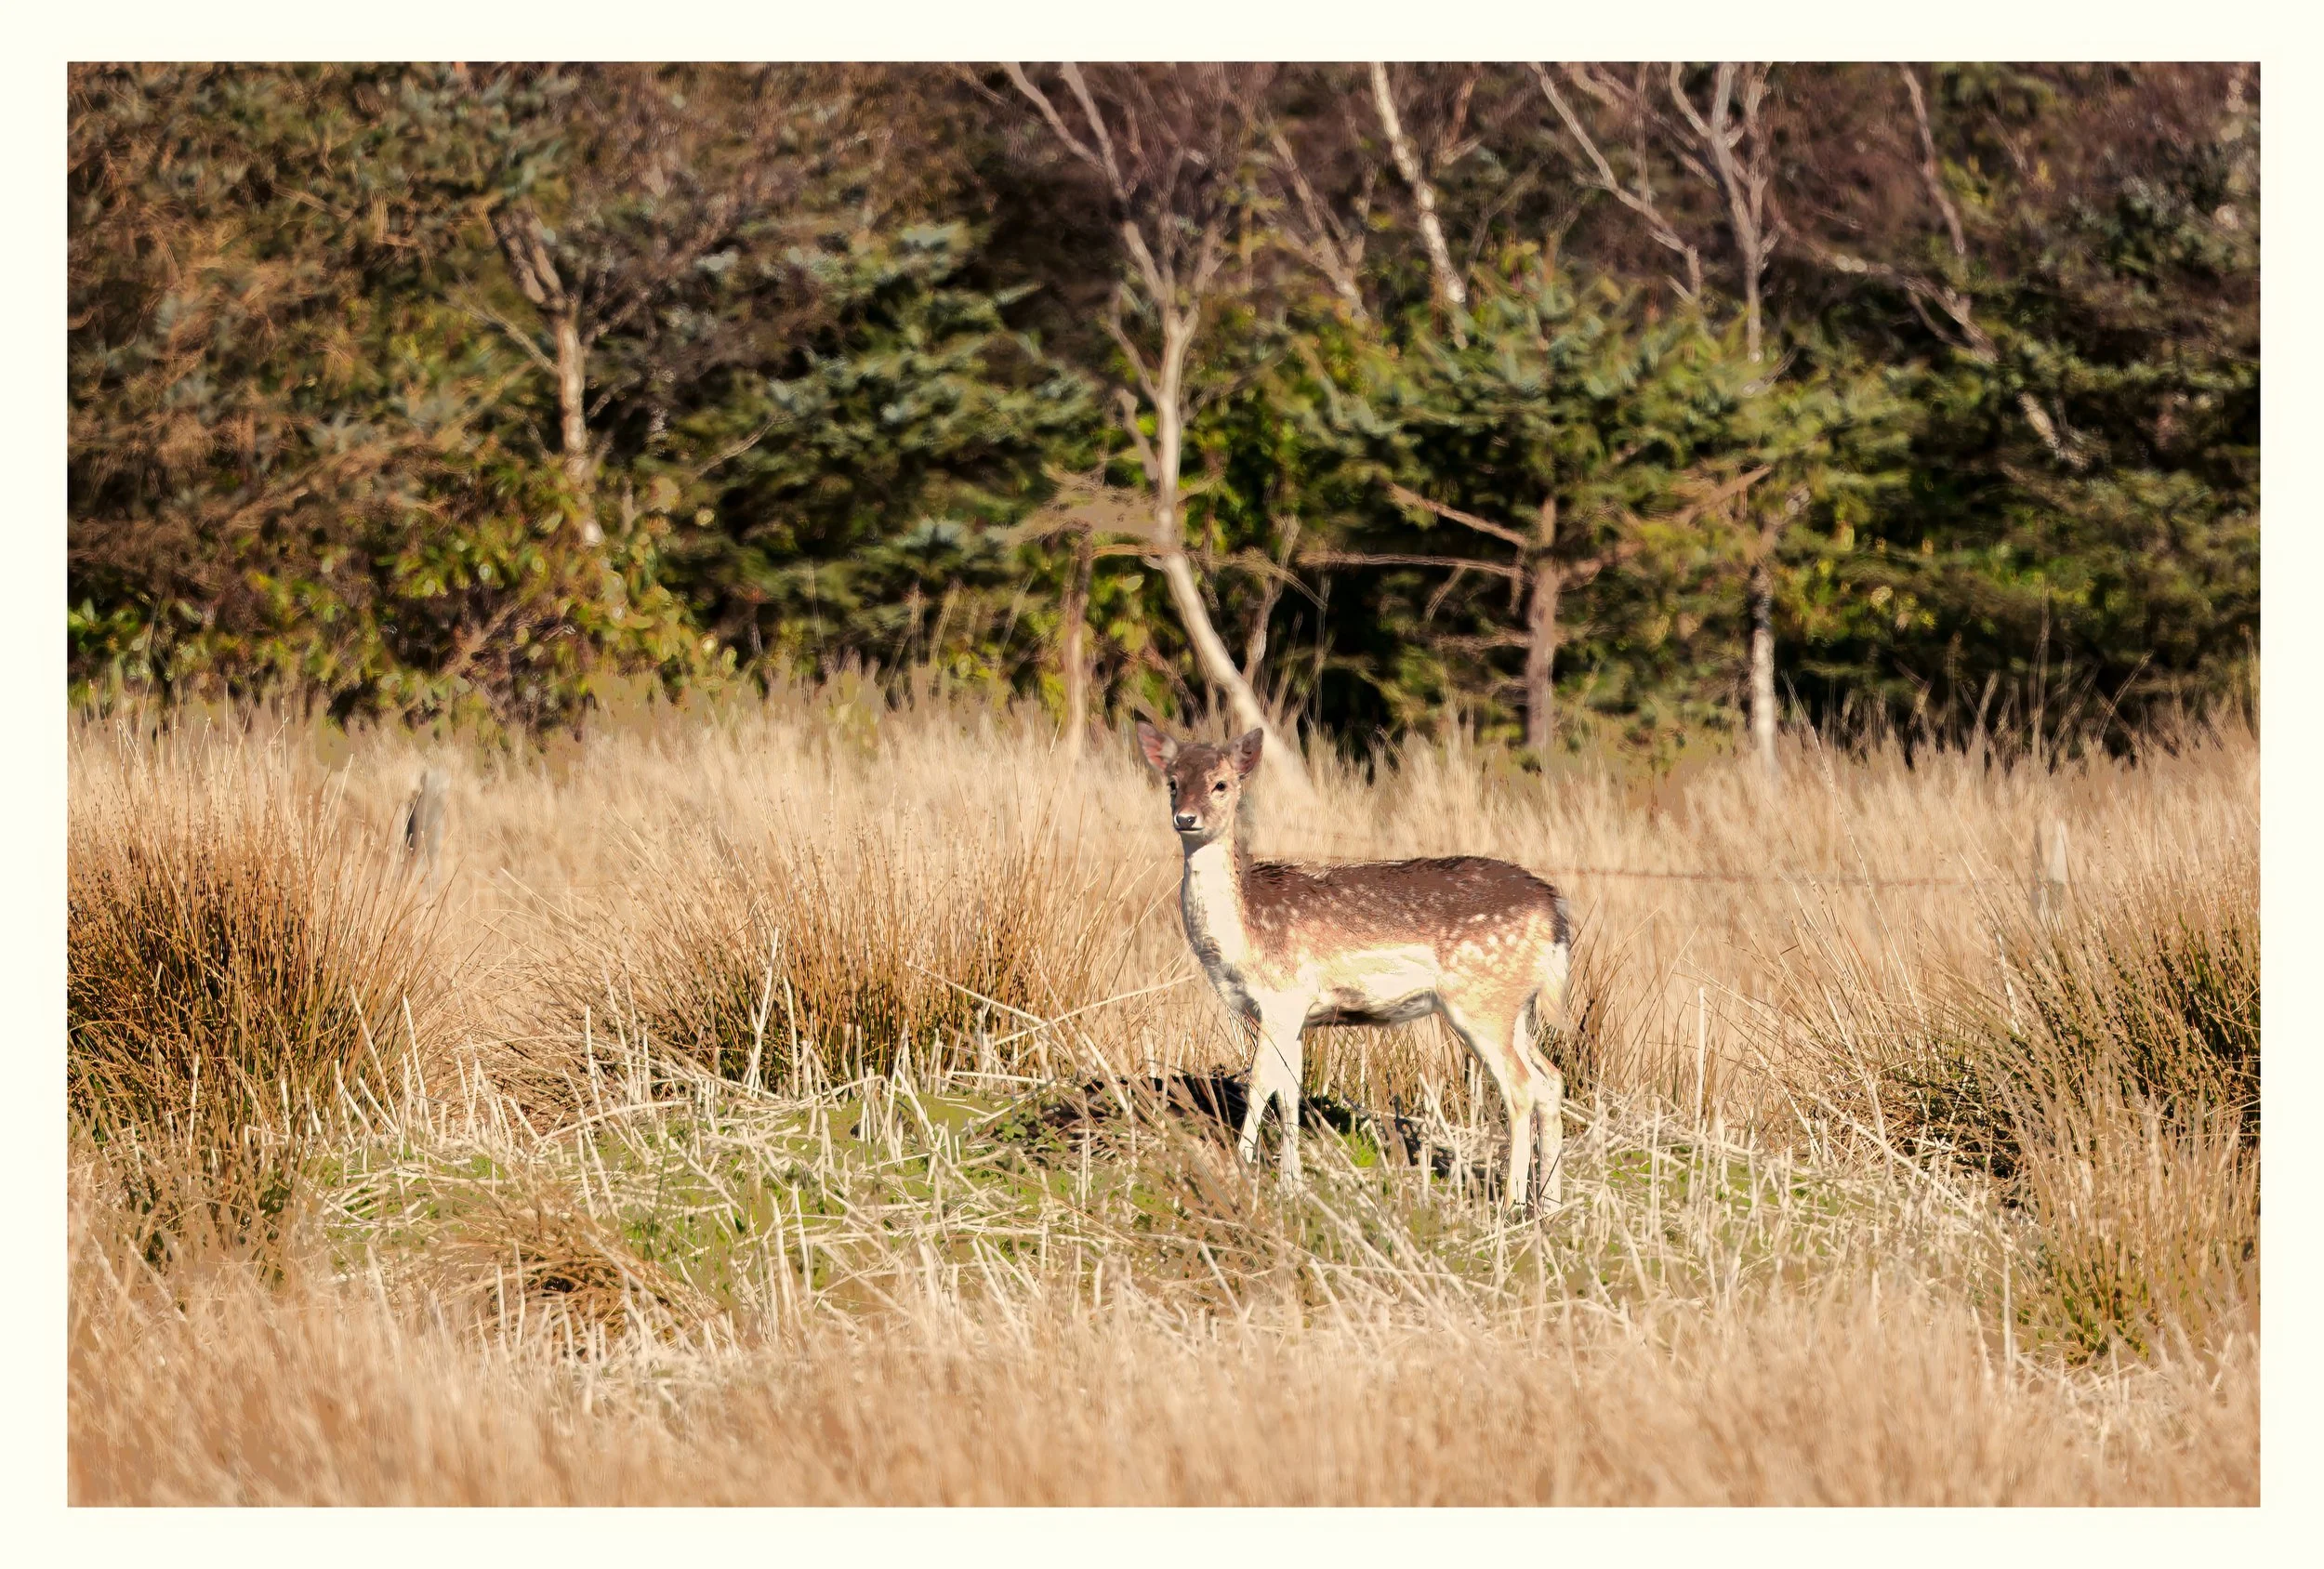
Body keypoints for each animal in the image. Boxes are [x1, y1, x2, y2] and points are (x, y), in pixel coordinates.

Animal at [1135, 722, 1576, 1208]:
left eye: (1221, 784)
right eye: (1172, 782)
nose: (1186, 818)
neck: (1243, 932)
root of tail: (1554, 911)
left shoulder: (1281, 996)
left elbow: (1260, 1083)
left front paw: (1241, 1168)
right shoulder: (1298, 1014)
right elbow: (1290, 1090)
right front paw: (1292, 1184)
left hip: (1482, 999)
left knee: (1521, 1087)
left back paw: (1509, 1206)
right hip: (1517, 1006)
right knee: (1550, 1080)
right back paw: (1549, 1205)